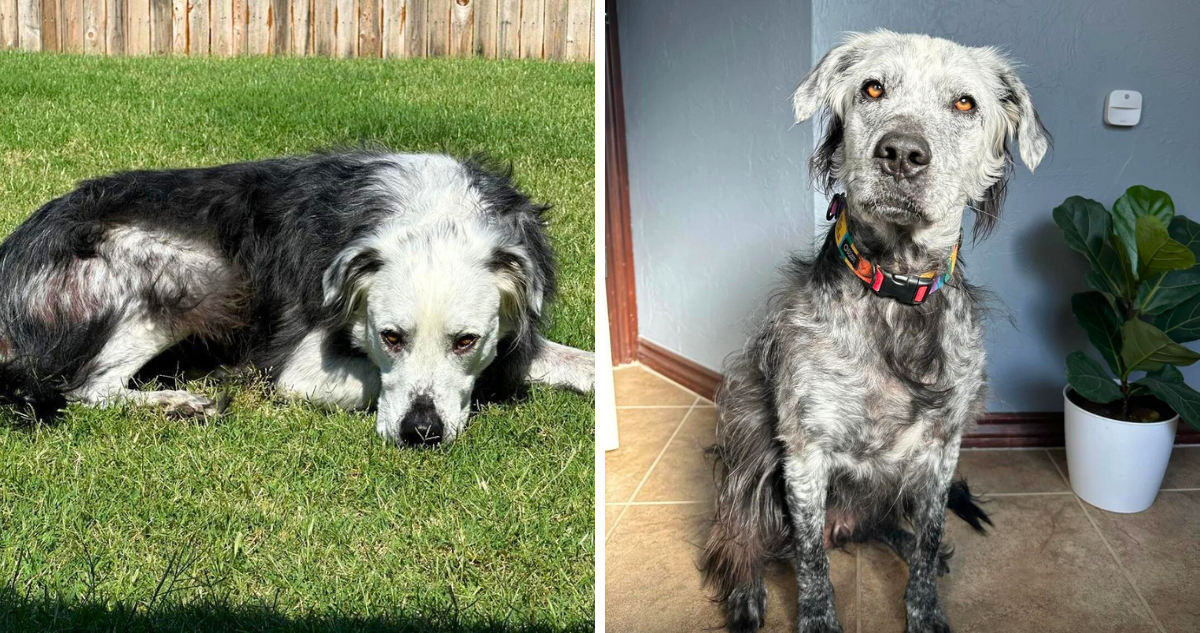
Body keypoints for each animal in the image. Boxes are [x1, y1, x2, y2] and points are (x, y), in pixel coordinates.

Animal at [0, 149, 595, 445]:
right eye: (390, 337)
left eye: (467, 341)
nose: (420, 433)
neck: (433, 214)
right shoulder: (301, 364)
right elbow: (366, 383)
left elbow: (571, 361)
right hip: (201, 277)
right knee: (86, 387)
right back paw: (178, 403)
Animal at [700, 30, 1046, 633]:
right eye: (873, 88)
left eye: (965, 103)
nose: (902, 152)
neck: (895, 293)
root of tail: (845, 526)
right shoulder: (804, 452)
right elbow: (811, 562)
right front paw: (816, 619)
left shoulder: (941, 452)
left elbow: (929, 540)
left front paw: (926, 608)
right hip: (750, 452)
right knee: (740, 537)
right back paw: (746, 595)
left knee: (891, 529)